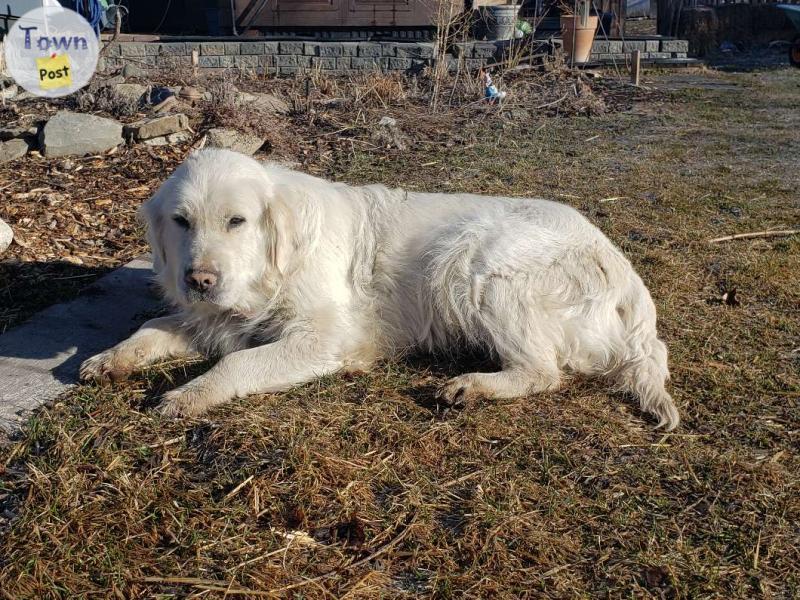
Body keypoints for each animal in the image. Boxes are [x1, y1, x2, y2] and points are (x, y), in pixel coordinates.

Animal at [81, 150, 680, 432]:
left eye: (237, 221)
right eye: (181, 222)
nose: (199, 280)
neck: (271, 270)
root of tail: (623, 270)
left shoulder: (324, 338)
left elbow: (237, 363)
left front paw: (187, 395)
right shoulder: (210, 318)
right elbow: (153, 326)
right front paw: (109, 359)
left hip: (474, 264)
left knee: (544, 371)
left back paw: (473, 386)